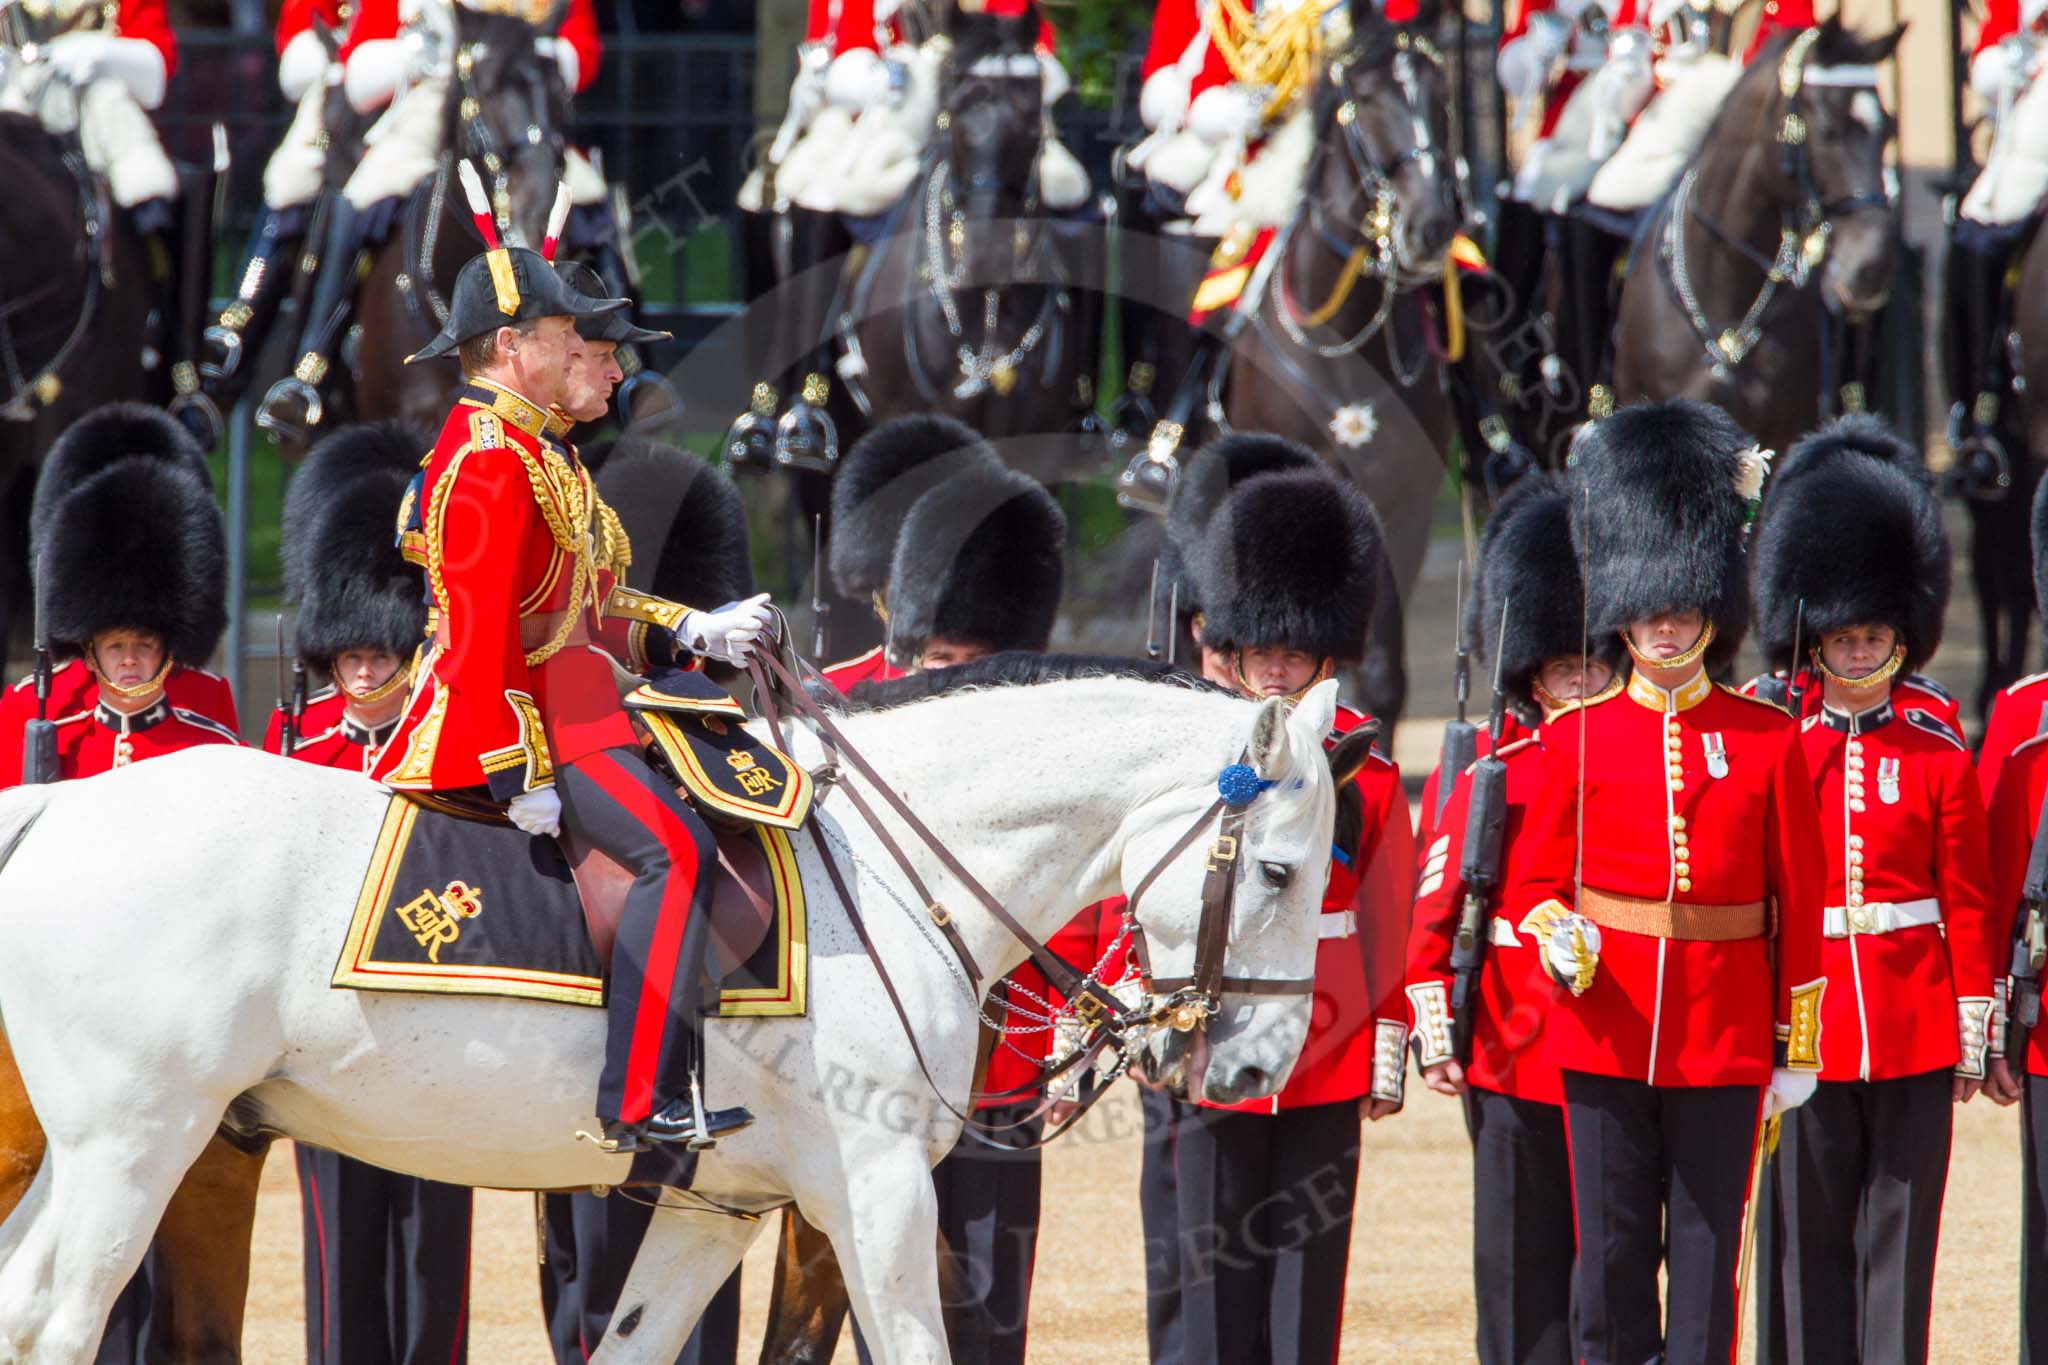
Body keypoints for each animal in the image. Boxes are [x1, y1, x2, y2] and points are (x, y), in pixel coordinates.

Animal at [4, 654, 1376, 1358]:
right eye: (1278, 870)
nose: (1256, 1070)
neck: (886, 874)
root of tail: (60, 807)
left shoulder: (718, 1206)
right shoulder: (875, 1190)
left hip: (86, 1152)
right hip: (138, 1148)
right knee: (62, 1322)